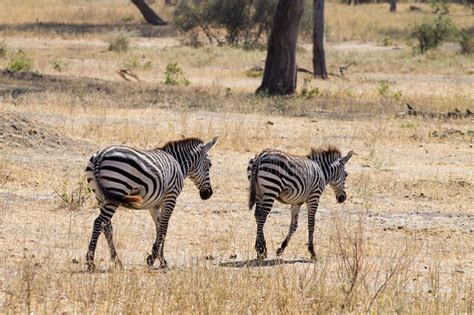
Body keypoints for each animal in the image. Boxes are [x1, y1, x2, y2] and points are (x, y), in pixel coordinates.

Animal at [85, 137, 218, 270]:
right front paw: (155, 259)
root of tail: (100, 155)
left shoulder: (154, 205)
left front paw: (158, 258)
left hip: (100, 196)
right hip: (116, 188)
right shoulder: (170, 197)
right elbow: (164, 228)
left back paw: (117, 261)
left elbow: (159, 227)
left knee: (107, 226)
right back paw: (91, 261)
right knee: (99, 222)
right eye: (209, 165)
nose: (208, 194)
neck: (178, 163)